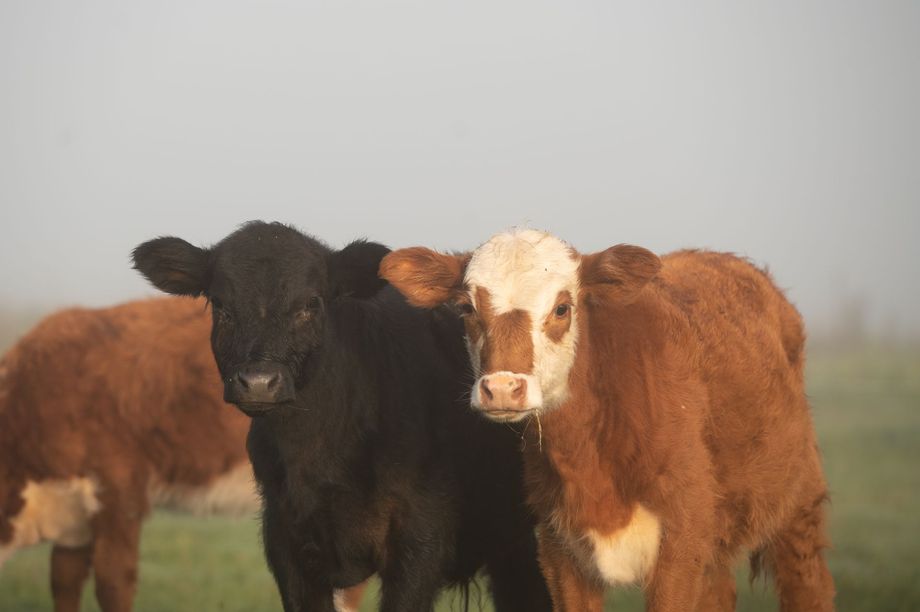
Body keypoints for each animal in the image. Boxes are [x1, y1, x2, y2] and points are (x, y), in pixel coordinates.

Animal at [381, 229, 835, 612]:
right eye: (466, 308)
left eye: (562, 308)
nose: (503, 388)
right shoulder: (558, 552)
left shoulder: (682, 546)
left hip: (799, 506)